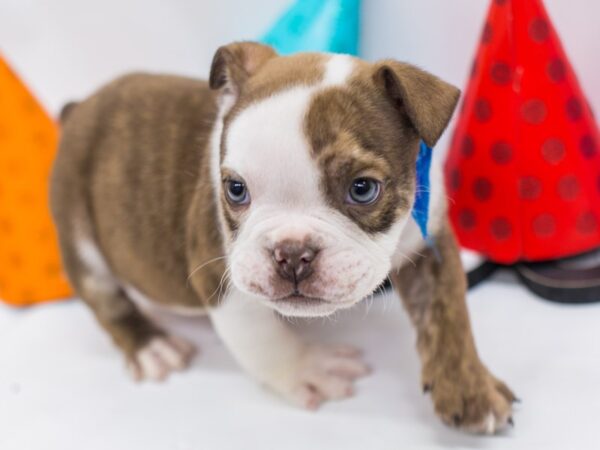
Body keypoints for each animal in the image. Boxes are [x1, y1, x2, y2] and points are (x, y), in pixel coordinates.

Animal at [50, 41, 516, 432]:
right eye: (236, 189)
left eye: (362, 189)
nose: (292, 253)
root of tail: (79, 109)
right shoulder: (222, 279)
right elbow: (265, 341)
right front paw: (309, 369)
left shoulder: (430, 245)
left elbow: (448, 318)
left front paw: (471, 388)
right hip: (77, 228)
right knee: (105, 297)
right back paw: (151, 346)